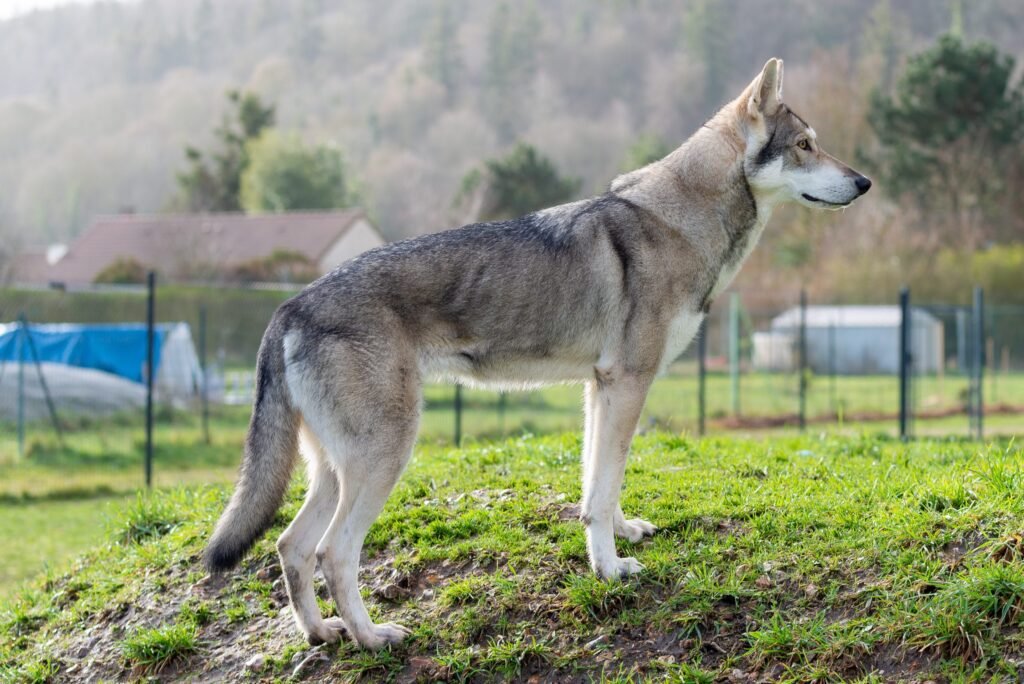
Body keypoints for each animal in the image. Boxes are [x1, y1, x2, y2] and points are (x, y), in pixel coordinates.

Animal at [204, 58, 871, 649]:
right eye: (806, 145)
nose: (865, 182)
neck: (681, 220)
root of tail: (289, 307)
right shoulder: (629, 383)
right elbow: (601, 489)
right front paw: (611, 571)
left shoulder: (600, 389)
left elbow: (599, 485)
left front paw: (620, 538)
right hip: (382, 456)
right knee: (332, 552)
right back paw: (373, 638)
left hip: (331, 470)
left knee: (289, 546)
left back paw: (322, 634)